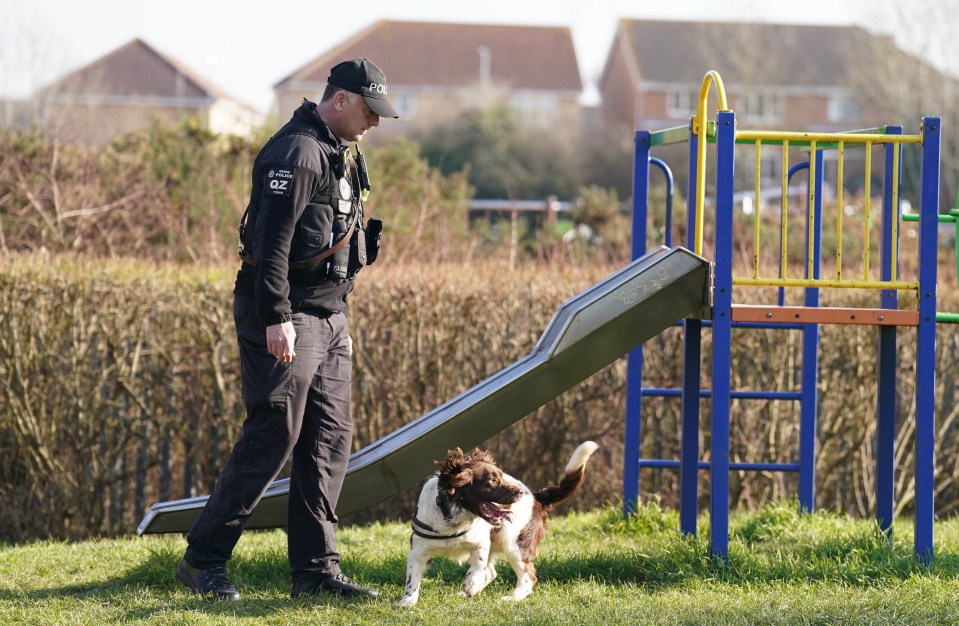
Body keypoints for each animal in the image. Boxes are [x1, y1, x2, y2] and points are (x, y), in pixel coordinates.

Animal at [394, 438, 596, 604]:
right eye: (491, 480)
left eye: (501, 476)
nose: (519, 492)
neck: (453, 518)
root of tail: (536, 496)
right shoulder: (418, 550)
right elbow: (412, 579)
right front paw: (406, 603)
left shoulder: (481, 542)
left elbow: (478, 566)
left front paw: (471, 583)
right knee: (492, 573)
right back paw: (465, 594)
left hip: (514, 545)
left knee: (527, 577)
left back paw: (510, 598)